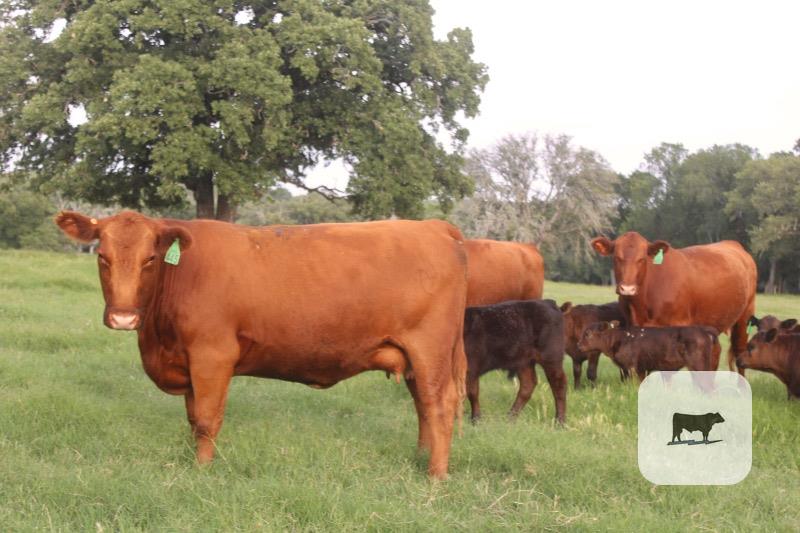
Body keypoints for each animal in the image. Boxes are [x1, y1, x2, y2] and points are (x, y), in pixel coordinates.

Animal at [55, 210, 468, 479]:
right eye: (103, 257)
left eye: (150, 259)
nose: (123, 317)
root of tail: (434, 227)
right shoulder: (188, 362)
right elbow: (192, 417)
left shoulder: (212, 355)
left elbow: (206, 419)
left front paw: (201, 471)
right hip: (414, 356)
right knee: (423, 406)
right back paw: (421, 457)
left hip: (430, 349)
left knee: (440, 405)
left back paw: (436, 476)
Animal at [578, 322, 721, 381]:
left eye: (588, 333)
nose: (579, 345)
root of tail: (702, 330)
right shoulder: (641, 370)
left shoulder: (632, 368)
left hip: (699, 366)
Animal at [591, 232, 757, 375]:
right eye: (616, 258)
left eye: (642, 259)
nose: (627, 288)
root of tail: (734, 244)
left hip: (744, 318)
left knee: (739, 352)